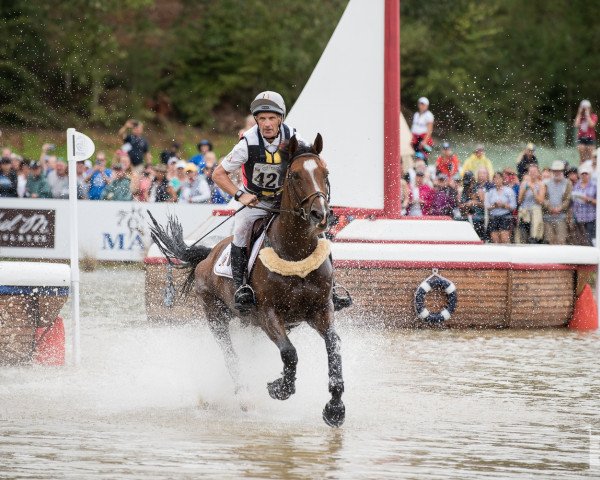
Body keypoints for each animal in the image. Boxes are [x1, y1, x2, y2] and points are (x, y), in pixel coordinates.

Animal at [149, 132, 344, 428]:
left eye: (326, 172)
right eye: (295, 175)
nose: (320, 215)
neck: (296, 252)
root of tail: (208, 255)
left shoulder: (321, 310)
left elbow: (333, 348)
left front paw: (335, 408)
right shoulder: (268, 313)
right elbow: (289, 353)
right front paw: (280, 388)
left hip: (249, 325)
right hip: (217, 316)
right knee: (231, 356)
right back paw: (245, 397)